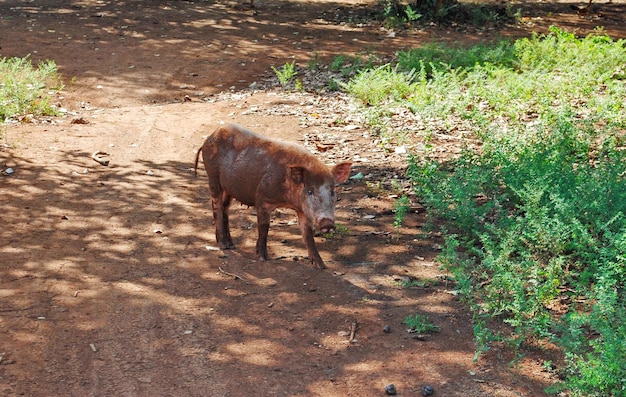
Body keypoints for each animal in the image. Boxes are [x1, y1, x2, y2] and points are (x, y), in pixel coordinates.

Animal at [194, 122, 352, 268]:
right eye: (310, 191)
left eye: (332, 191)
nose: (328, 223)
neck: (288, 200)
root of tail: (209, 138)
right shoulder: (262, 199)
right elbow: (264, 227)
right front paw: (263, 258)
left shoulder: (303, 210)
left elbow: (307, 235)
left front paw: (321, 266)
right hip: (213, 176)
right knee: (217, 208)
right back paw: (223, 246)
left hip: (229, 188)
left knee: (225, 209)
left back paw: (231, 244)